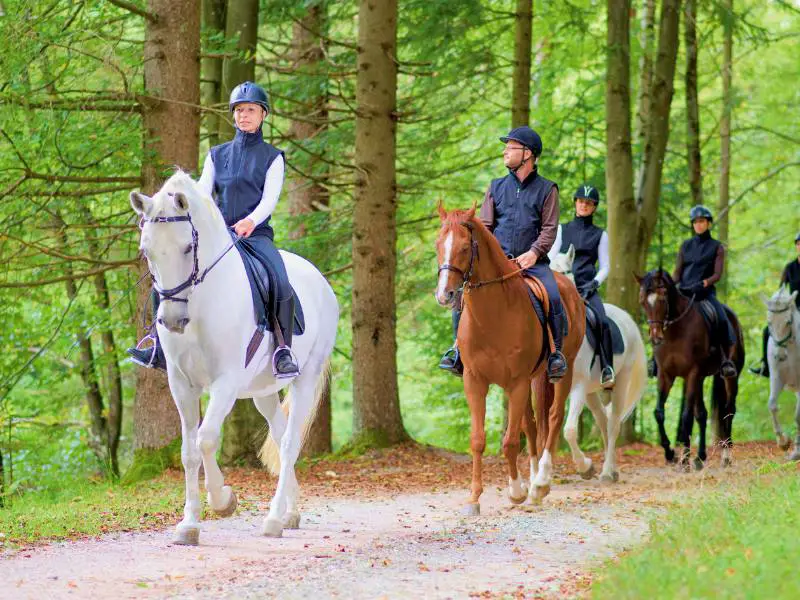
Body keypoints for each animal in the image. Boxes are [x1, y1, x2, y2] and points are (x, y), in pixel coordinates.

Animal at [131, 171, 338, 548]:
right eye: (146, 250)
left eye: (187, 247)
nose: (172, 321)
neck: (200, 303)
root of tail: (319, 280)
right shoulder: (181, 384)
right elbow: (188, 450)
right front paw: (189, 524)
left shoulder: (224, 383)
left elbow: (207, 438)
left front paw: (223, 500)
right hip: (262, 392)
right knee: (281, 435)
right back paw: (291, 512)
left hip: (305, 379)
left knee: (289, 443)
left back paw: (274, 519)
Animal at [434, 204, 584, 512]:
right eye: (437, 245)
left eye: (465, 247)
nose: (445, 295)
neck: (493, 315)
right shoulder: (475, 381)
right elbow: (479, 440)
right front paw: (474, 498)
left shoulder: (516, 383)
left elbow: (511, 442)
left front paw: (517, 492)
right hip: (533, 380)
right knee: (533, 423)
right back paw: (533, 480)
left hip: (563, 371)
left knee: (553, 417)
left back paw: (541, 483)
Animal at [552, 246, 648, 480]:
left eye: (566, 272)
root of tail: (627, 319)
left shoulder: (577, 386)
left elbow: (569, 430)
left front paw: (585, 467)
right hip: (590, 392)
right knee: (603, 421)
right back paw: (611, 469)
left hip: (620, 382)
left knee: (613, 423)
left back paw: (606, 472)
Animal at [636, 270, 744, 472]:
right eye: (642, 301)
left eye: (663, 298)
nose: (656, 337)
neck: (674, 331)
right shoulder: (666, 375)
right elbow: (659, 412)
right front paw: (670, 454)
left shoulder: (692, 374)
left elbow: (686, 417)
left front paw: (684, 460)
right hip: (700, 379)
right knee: (702, 414)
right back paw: (700, 457)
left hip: (730, 377)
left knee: (728, 410)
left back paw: (726, 456)